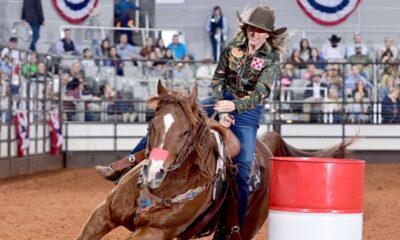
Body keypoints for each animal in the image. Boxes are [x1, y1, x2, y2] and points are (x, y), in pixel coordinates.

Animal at [76, 81, 352, 240]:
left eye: (185, 132)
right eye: (152, 125)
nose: (153, 173)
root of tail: (267, 142)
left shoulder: (154, 232)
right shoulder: (103, 214)